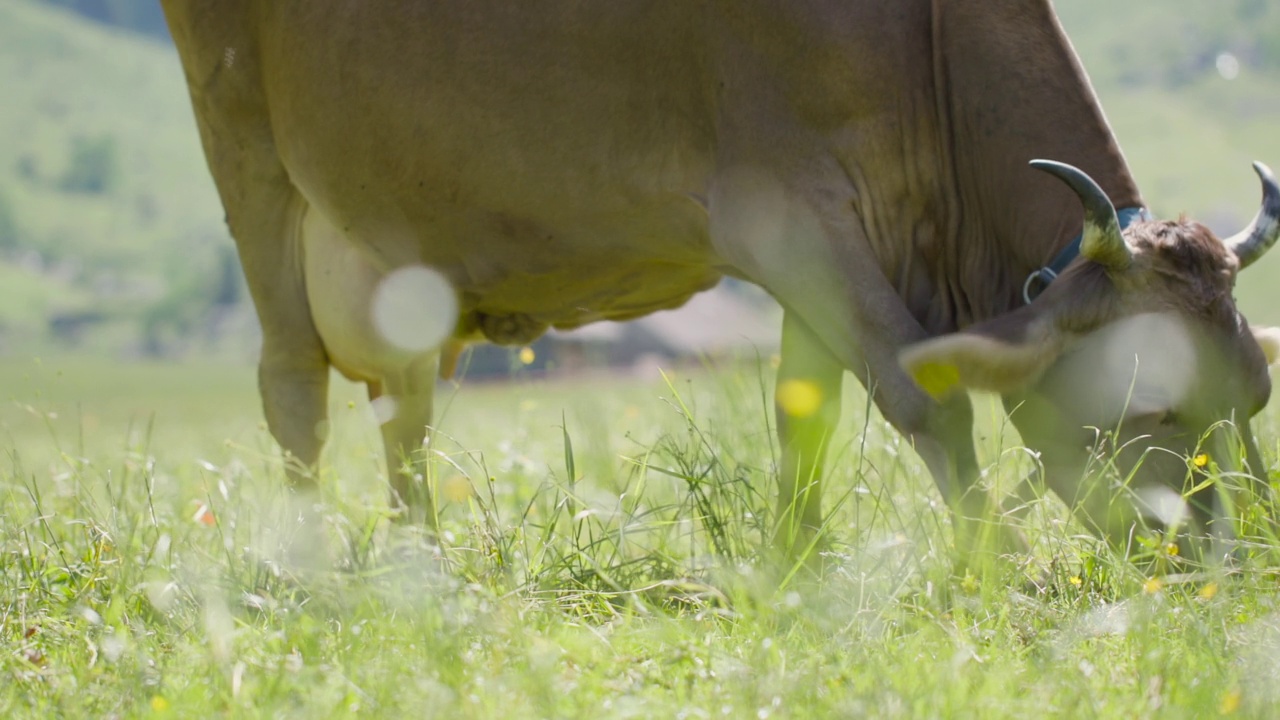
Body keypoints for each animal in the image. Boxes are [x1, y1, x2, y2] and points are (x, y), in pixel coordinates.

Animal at [162, 0, 1280, 558]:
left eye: (1252, 399)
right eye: (1148, 404)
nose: (1228, 558)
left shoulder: (828, 242)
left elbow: (802, 414)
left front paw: (794, 566)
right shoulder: (785, 212)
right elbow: (926, 401)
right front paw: (985, 569)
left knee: (404, 415)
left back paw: (418, 558)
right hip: (244, 142)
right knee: (293, 390)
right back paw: (310, 561)